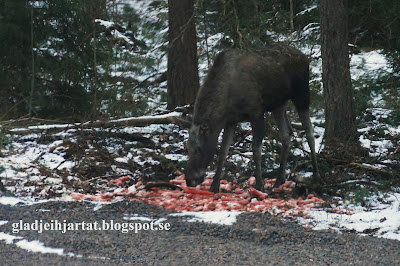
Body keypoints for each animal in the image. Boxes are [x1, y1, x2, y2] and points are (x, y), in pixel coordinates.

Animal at [186, 44, 320, 193]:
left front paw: (259, 184)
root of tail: (304, 56)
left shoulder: (256, 112)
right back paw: (279, 180)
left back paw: (316, 174)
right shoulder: (231, 120)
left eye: (198, 148)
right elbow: (223, 152)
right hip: (279, 105)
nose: (189, 180)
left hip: (302, 95)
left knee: (309, 133)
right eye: (187, 148)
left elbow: (256, 150)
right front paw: (214, 186)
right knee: (287, 134)